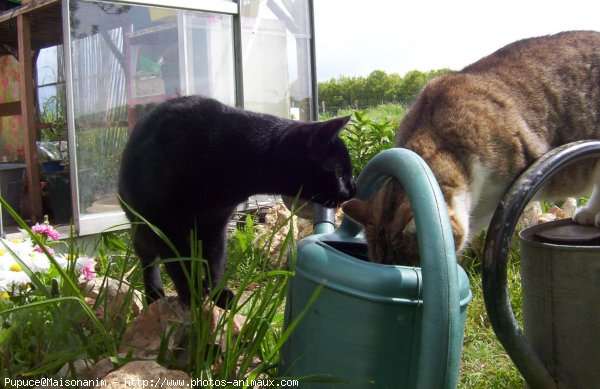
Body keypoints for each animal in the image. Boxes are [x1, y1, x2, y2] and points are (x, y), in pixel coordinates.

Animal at [118, 96, 356, 306]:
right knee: (149, 261)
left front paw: (217, 293)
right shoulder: (166, 226)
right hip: (142, 229)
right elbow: (179, 265)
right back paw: (155, 295)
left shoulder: (216, 225)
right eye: (339, 172)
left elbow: (216, 262)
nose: (353, 189)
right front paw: (192, 296)